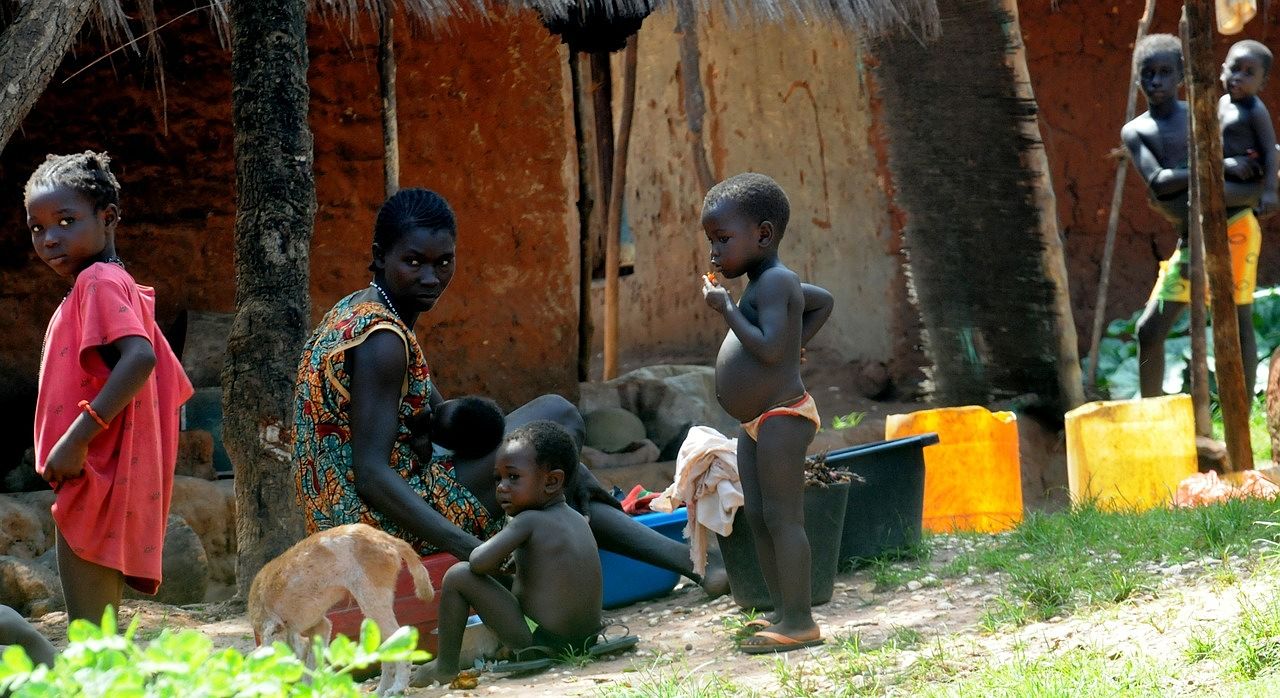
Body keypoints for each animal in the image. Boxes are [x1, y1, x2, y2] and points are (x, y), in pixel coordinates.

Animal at [247, 522, 437, 691]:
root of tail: (385, 538)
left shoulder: (275, 630)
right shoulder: (319, 627)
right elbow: (311, 667)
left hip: (372, 602)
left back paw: (398, 687)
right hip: (374, 614)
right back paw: (381, 690)